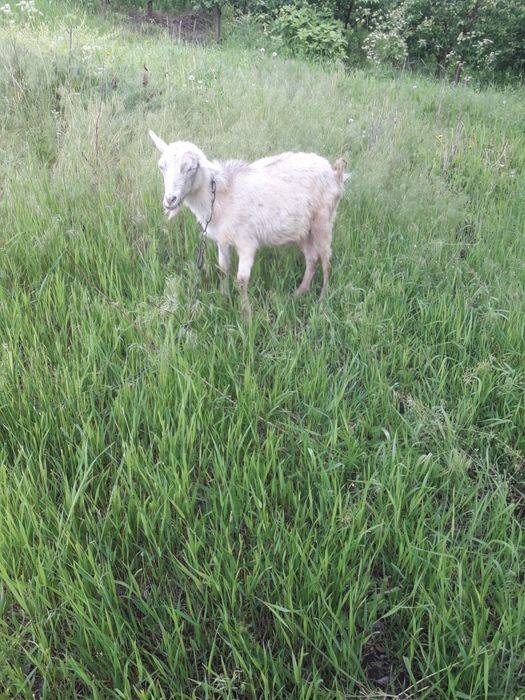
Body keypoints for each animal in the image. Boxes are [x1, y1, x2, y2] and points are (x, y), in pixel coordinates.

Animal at [149, 130, 350, 318]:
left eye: (191, 168)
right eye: (161, 167)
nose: (170, 200)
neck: (220, 195)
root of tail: (334, 173)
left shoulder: (247, 242)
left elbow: (241, 280)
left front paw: (246, 316)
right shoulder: (222, 240)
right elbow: (223, 270)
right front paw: (224, 299)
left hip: (323, 221)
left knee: (327, 262)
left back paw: (322, 300)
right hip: (302, 229)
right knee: (312, 257)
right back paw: (299, 292)